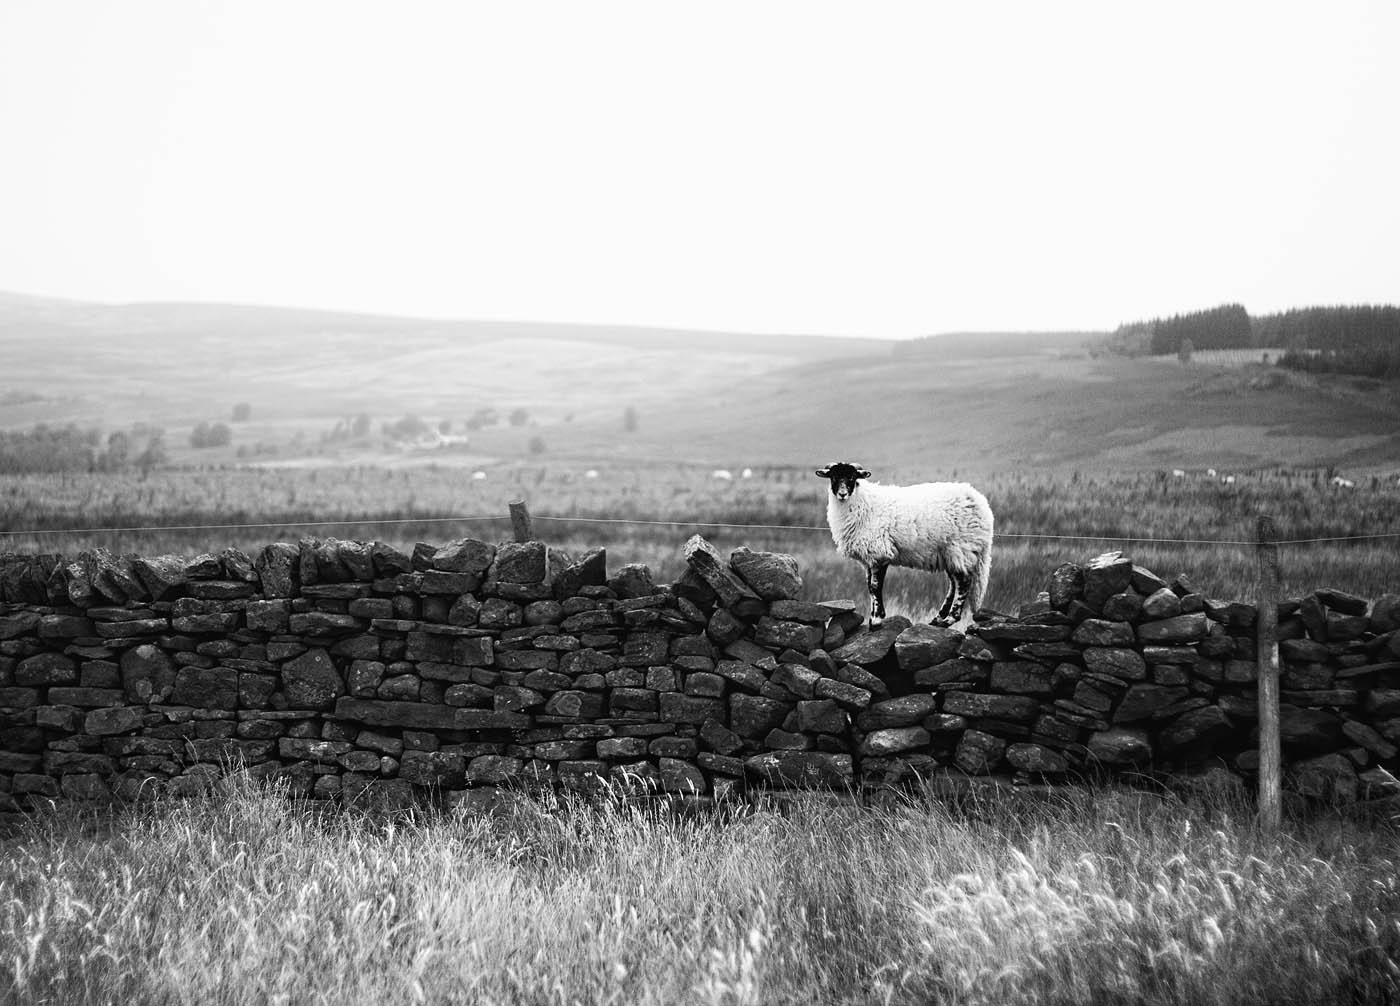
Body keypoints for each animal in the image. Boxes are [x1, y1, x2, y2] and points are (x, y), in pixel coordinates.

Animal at [815, 461, 993, 630]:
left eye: (852, 477)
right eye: (833, 477)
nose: (842, 494)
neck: (862, 502)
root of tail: (981, 502)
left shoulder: (879, 553)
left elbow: (875, 586)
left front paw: (876, 620)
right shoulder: (868, 558)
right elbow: (869, 587)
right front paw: (875, 616)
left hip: (961, 547)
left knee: (964, 582)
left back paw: (949, 619)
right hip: (948, 552)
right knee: (953, 583)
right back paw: (937, 619)